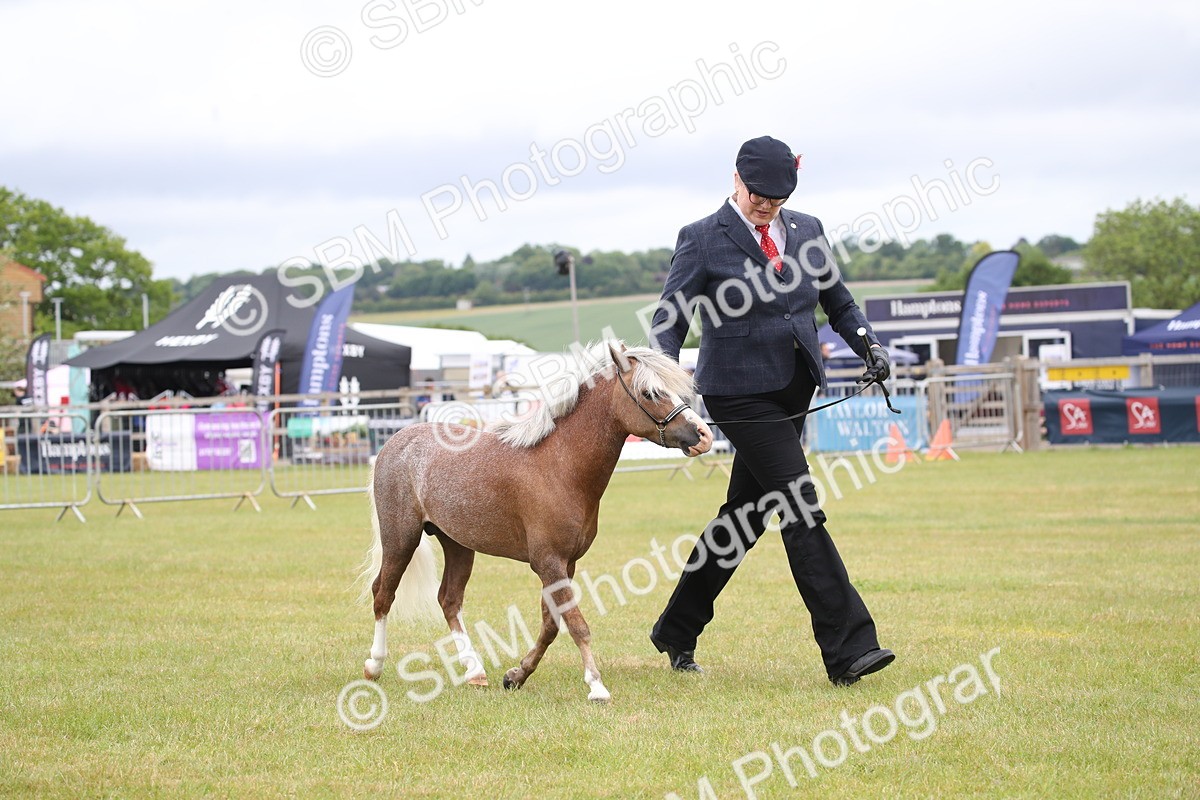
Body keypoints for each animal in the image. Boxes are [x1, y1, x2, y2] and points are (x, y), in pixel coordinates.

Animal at [359, 341, 713, 702]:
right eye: (650, 392)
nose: (702, 435)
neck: (559, 466)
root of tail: (396, 442)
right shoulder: (549, 562)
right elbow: (576, 624)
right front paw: (596, 685)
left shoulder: (565, 564)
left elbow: (552, 624)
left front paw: (517, 675)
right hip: (401, 538)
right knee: (383, 594)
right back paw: (374, 665)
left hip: (457, 544)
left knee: (449, 600)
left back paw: (475, 671)